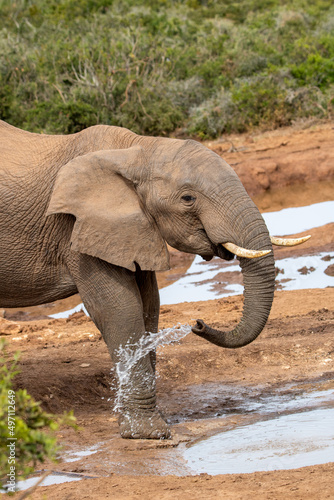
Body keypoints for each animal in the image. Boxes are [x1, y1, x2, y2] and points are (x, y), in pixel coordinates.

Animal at [0, 120, 310, 438]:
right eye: (188, 198)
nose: (197, 324)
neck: (137, 151)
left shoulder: (133, 228)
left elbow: (149, 306)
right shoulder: (78, 226)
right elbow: (120, 309)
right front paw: (149, 433)